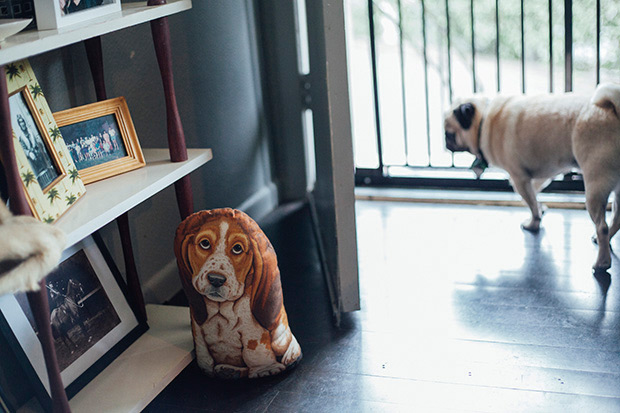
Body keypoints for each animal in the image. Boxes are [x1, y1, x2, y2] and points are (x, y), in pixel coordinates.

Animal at [444, 82, 620, 272]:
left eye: (448, 134)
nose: (445, 143)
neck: (484, 120)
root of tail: (611, 109)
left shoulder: (518, 178)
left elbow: (530, 203)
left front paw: (533, 223)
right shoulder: (540, 176)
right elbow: (533, 196)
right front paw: (541, 208)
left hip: (594, 189)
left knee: (602, 226)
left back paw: (602, 262)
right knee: (616, 219)